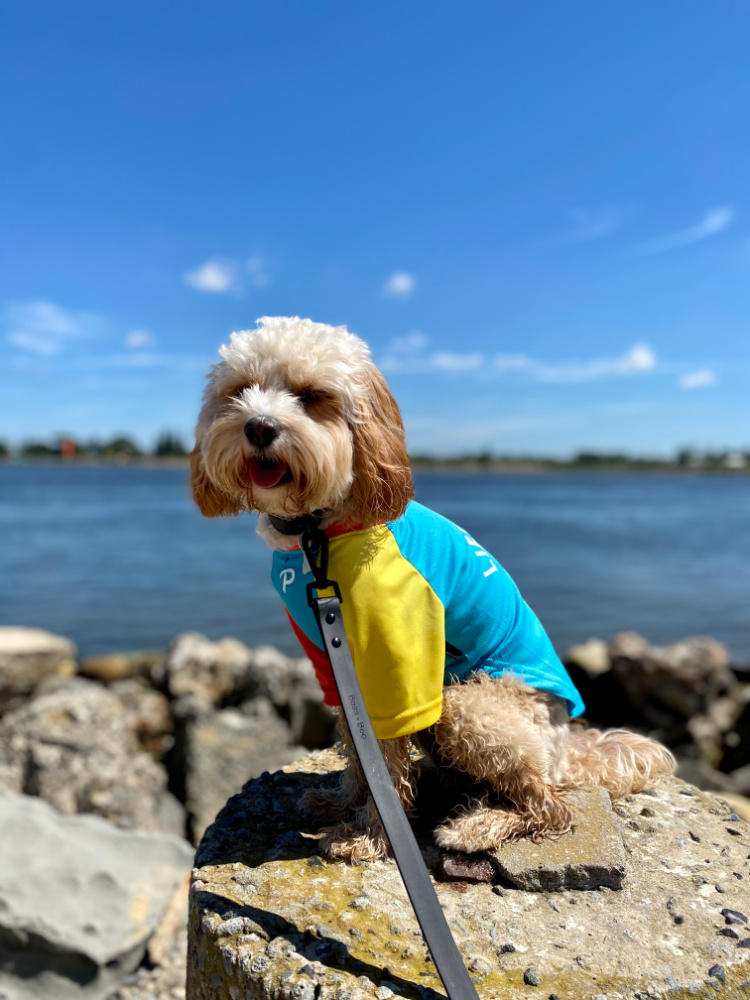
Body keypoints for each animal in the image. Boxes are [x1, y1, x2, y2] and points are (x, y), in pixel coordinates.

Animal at [191, 318, 680, 860]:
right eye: (241, 390)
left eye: (312, 395)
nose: (259, 426)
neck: (318, 531)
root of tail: (565, 750)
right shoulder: (329, 657)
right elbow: (358, 746)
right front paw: (342, 803)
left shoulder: (397, 666)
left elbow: (385, 759)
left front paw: (369, 837)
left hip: (470, 707)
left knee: (553, 807)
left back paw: (477, 826)